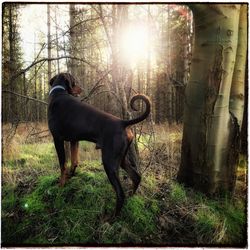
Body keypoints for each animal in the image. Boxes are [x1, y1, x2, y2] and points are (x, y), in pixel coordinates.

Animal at [47, 72, 150, 215]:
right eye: (74, 81)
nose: (81, 90)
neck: (59, 92)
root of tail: (123, 123)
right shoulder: (74, 140)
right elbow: (74, 161)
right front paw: (70, 176)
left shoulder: (57, 139)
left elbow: (62, 165)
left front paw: (61, 184)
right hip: (121, 159)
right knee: (136, 177)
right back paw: (131, 197)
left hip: (109, 162)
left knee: (120, 193)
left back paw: (112, 217)